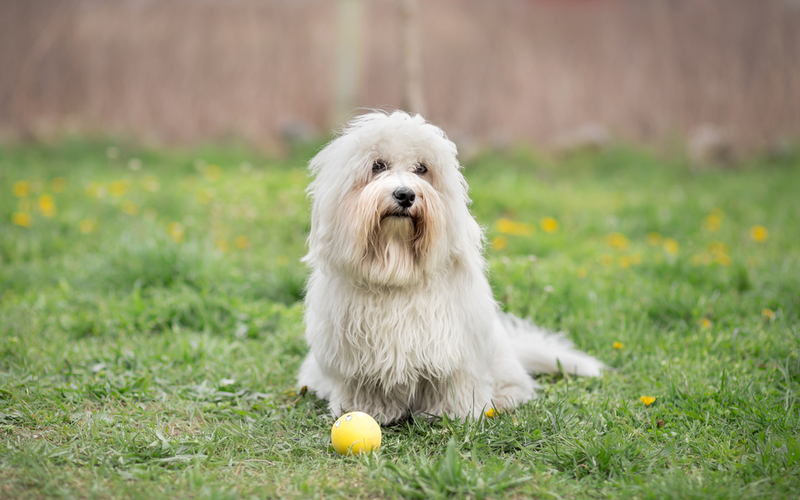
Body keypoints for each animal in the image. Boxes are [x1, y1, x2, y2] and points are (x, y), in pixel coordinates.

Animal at [296, 111, 604, 424]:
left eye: (422, 169)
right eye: (377, 166)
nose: (405, 195)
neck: (397, 268)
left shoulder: (456, 349)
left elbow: (454, 384)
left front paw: (455, 413)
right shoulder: (354, 358)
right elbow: (364, 387)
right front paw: (367, 411)